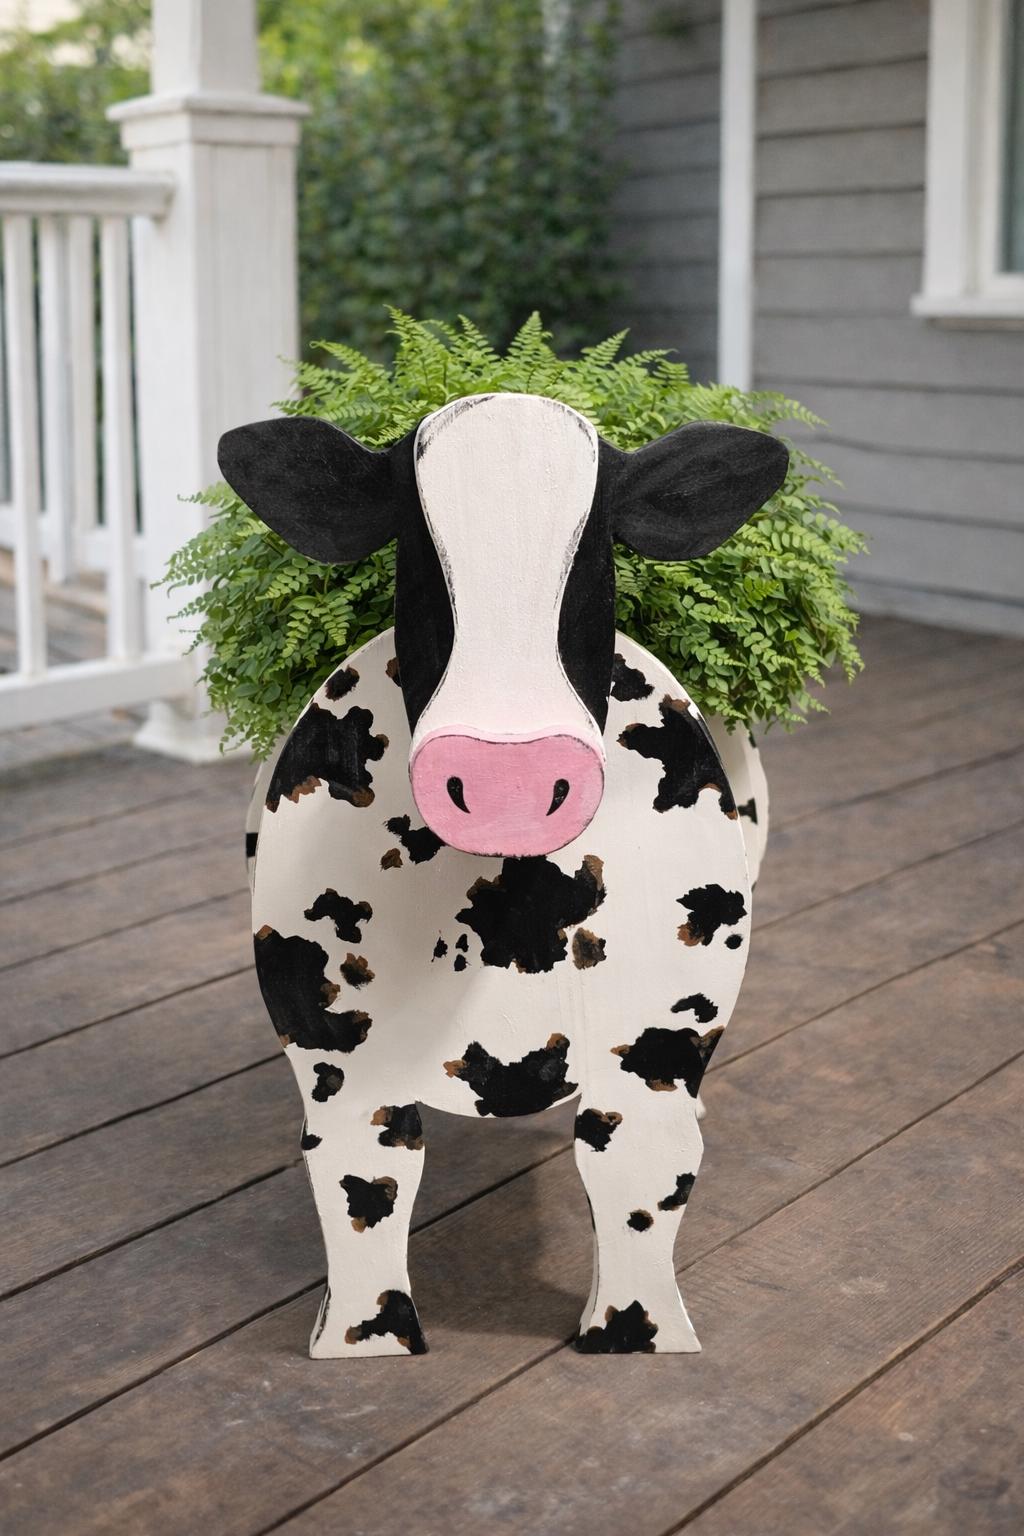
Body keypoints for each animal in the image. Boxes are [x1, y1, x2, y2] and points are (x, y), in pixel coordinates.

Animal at [218, 392, 788, 1357]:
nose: (505, 778)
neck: (514, 918)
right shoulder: (345, 1075)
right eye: (416, 546)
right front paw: (365, 1344)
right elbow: (361, 1201)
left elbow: (642, 1189)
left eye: (594, 549)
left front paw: (635, 1337)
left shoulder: (655, 1061)